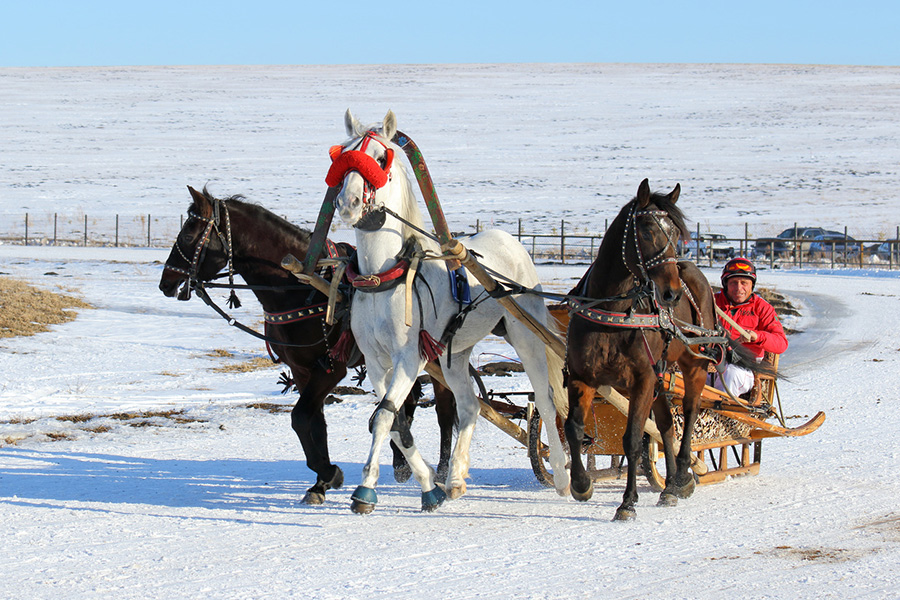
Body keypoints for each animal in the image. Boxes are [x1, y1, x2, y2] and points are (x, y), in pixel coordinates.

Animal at [156, 185, 458, 504]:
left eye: (188, 235)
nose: (166, 281)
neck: (300, 287)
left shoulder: (330, 369)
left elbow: (300, 417)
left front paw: (329, 472)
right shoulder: (301, 370)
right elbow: (313, 422)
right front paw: (320, 482)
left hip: (435, 357)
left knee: (444, 409)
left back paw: (441, 470)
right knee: (407, 402)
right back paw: (401, 462)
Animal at [328, 110, 568, 512]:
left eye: (380, 158)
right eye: (343, 157)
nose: (347, 203)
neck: (383, 277)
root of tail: (508, 238)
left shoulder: (409, 356)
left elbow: (384, 419)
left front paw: (366, 489)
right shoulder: (376, 361)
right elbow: (394, 421)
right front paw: (430, 485)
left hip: (526, 336)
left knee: (547, 403)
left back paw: (566, 477)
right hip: (454, 353)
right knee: (470, 406)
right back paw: (455, 478)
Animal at [568, 179, 768, 520]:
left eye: (676, 234)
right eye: (647, 231)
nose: (671, 293)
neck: (613, 311)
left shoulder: (642, 379)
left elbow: (633, 439)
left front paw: (627, 502)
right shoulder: (581, 376)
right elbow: (574, 428)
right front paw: (581, 484)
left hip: (693, 365)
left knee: (687, 413)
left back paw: (682, 475)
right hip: (663, 373)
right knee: (664, 423)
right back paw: (672, 485)